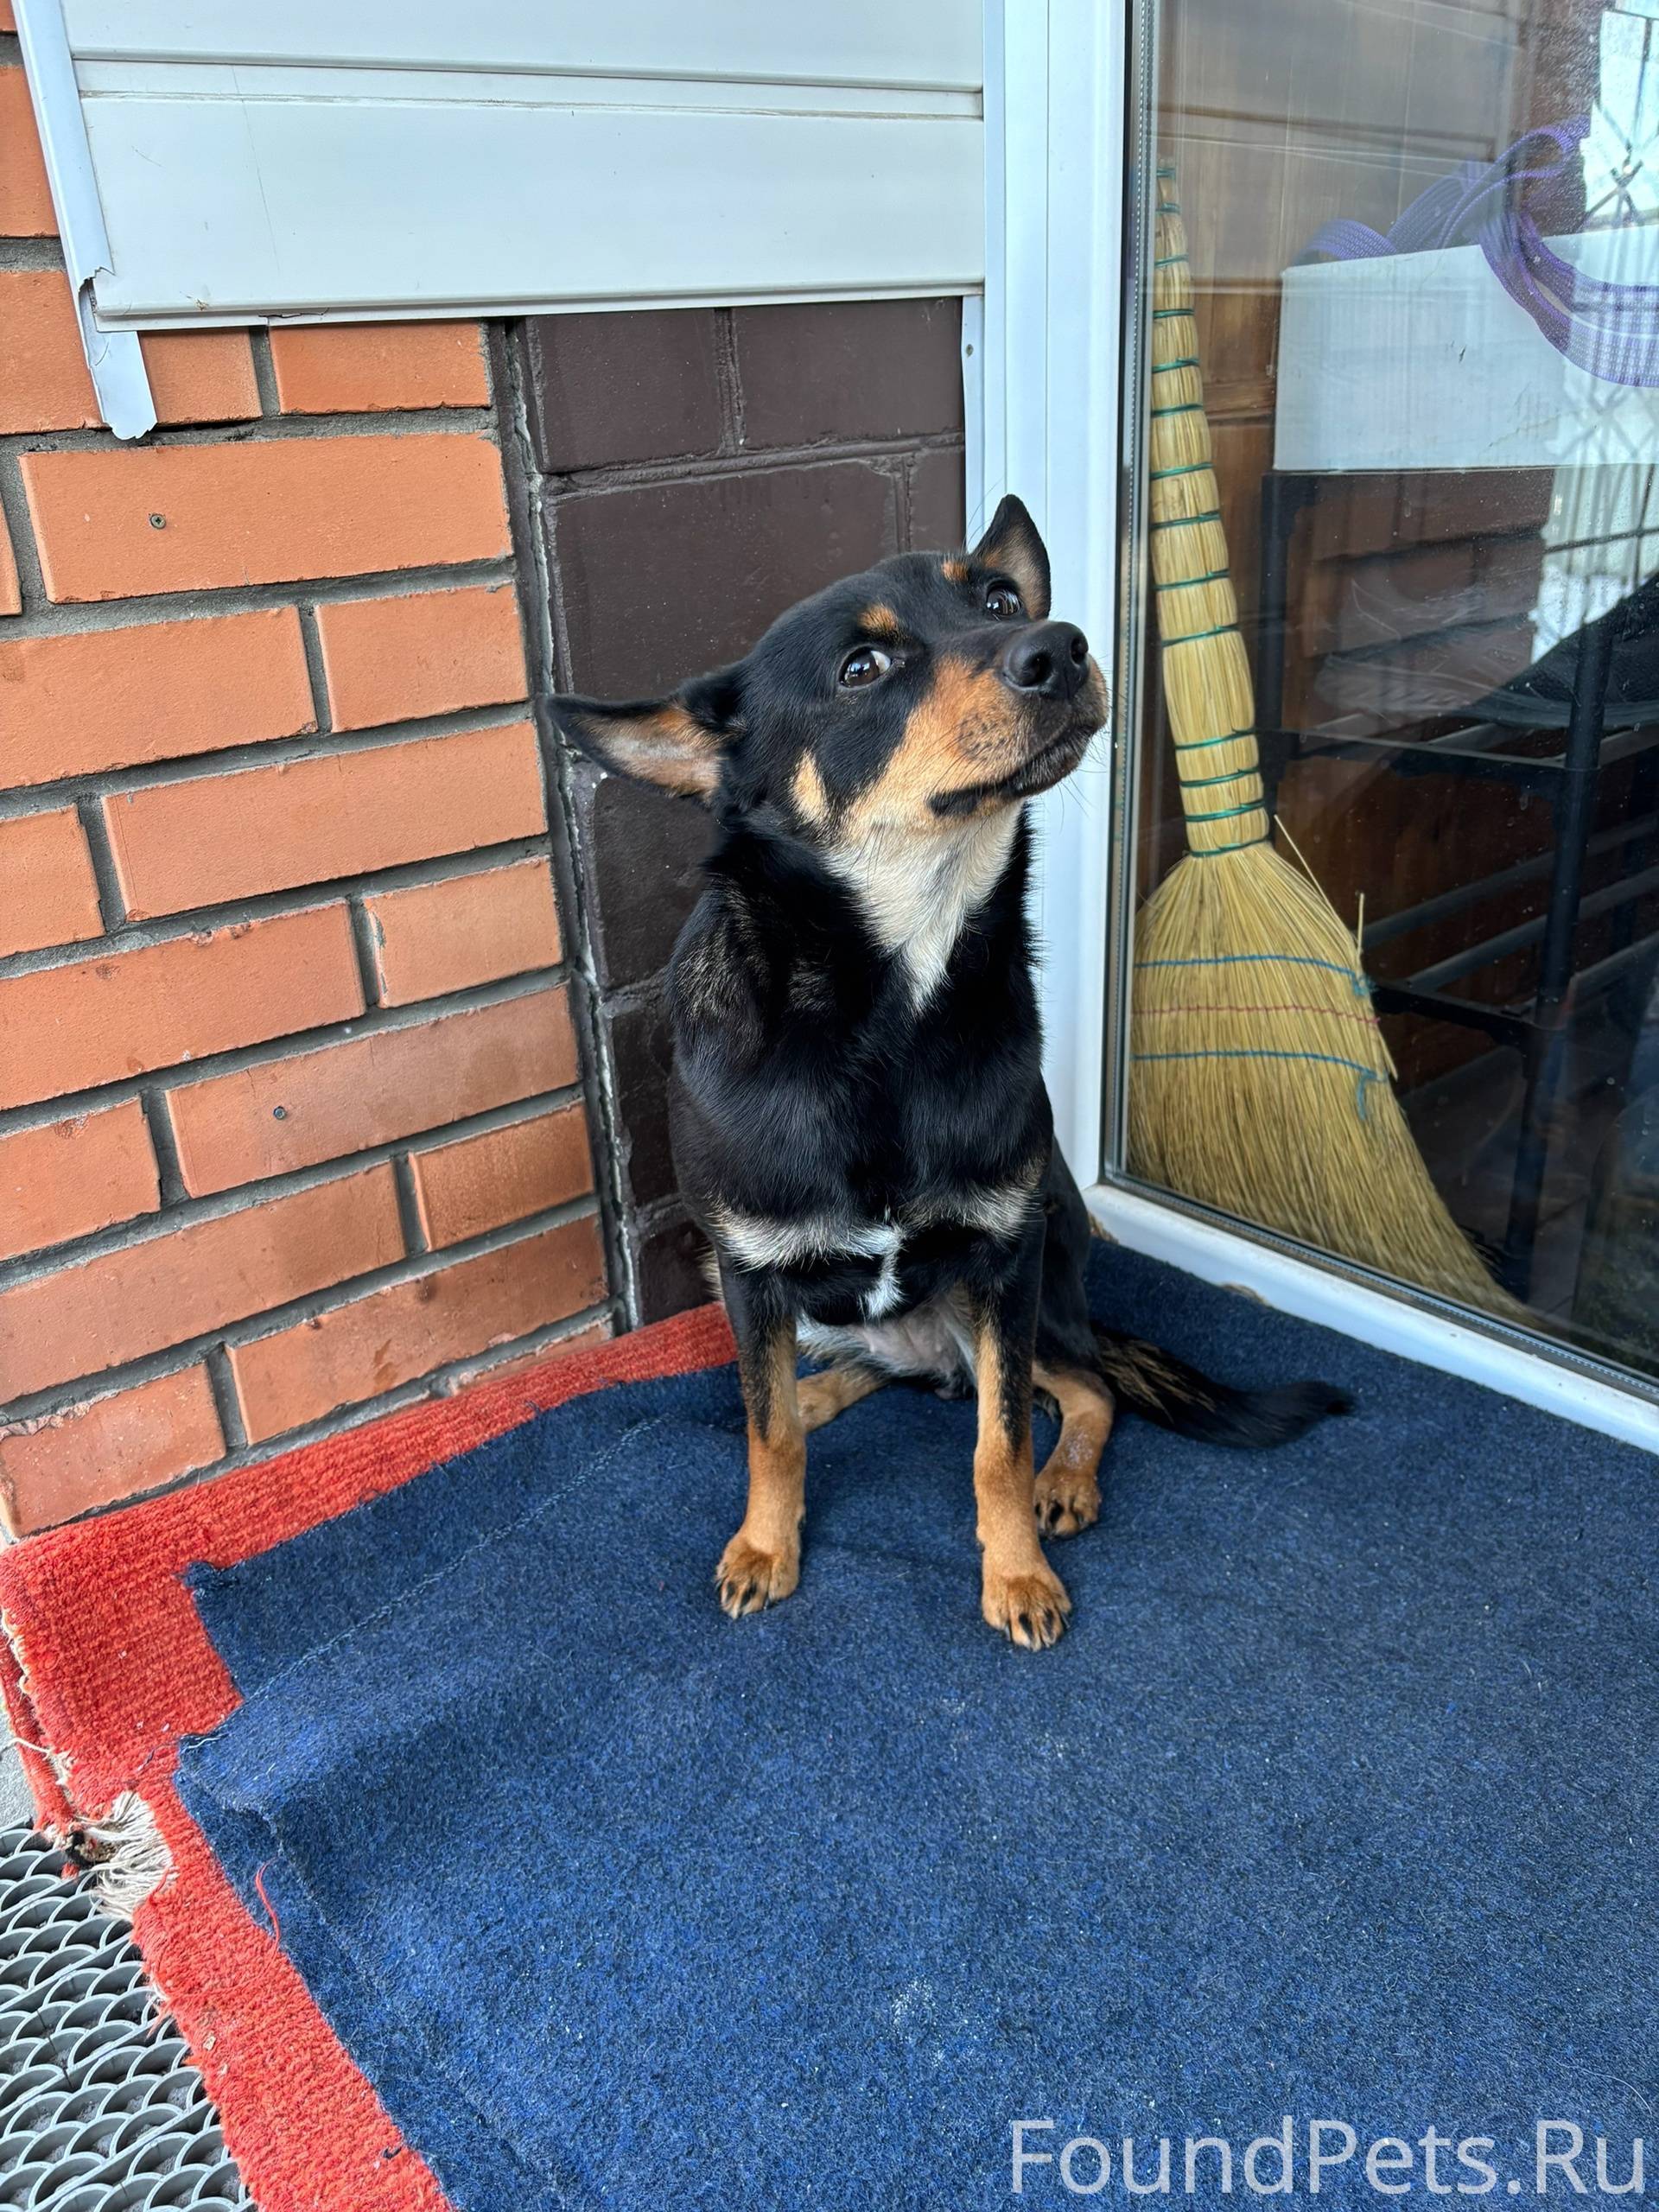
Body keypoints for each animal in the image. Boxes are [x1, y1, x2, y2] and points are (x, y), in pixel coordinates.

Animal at [554, 495, 1347, 1649]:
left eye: (1001, 601)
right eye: (863, 666)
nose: (1062, 647)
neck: (893, 1003)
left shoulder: (1004, 1257)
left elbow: (999, 1444)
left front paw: (1016, 1570)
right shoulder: (746, 1271)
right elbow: (767, 1432)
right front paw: (766, 1543)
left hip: (1040, 1277)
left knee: (1085, 1387)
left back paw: (1065, 1478)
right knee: (829, 1375)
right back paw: (824, 1390)